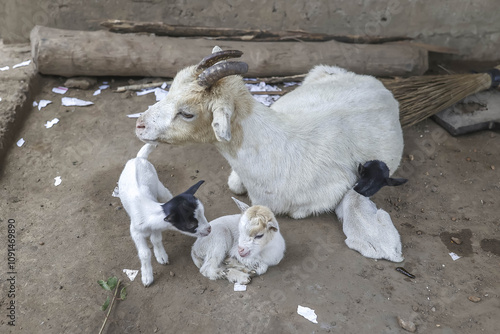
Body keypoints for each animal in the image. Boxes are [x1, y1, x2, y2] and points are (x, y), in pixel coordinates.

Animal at [117, 144, 211, 288]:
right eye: (191, 225)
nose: (209, 229)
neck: (149, 212)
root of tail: (138, 158)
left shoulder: (156, 227)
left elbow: (156, 240)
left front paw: (161, 255)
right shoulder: (135, 231)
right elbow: (144, 253)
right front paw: (147, 277)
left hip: (159, 187)